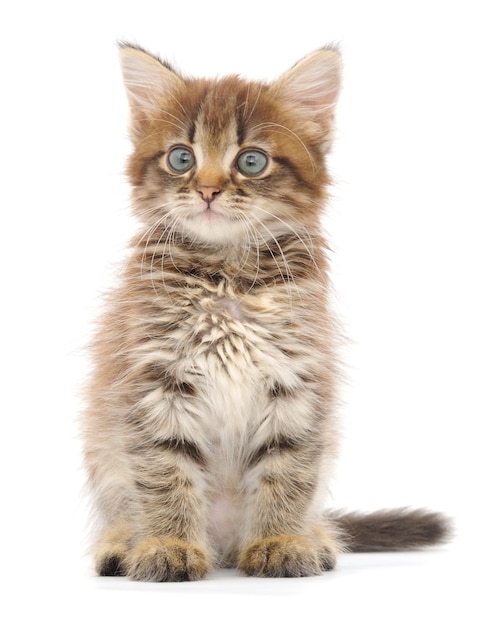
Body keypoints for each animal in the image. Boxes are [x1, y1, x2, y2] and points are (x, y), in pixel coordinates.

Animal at [81, 44, 450, 580]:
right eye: (181, 158)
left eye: (251, 161)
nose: (208, 189)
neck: (227, 277)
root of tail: (223, 542)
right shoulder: (155, 380)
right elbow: (165, 471)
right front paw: (168, 544)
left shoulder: (295, 377)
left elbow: (288, 469)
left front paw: (280, 540)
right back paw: (123, 542)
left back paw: (313, 537)